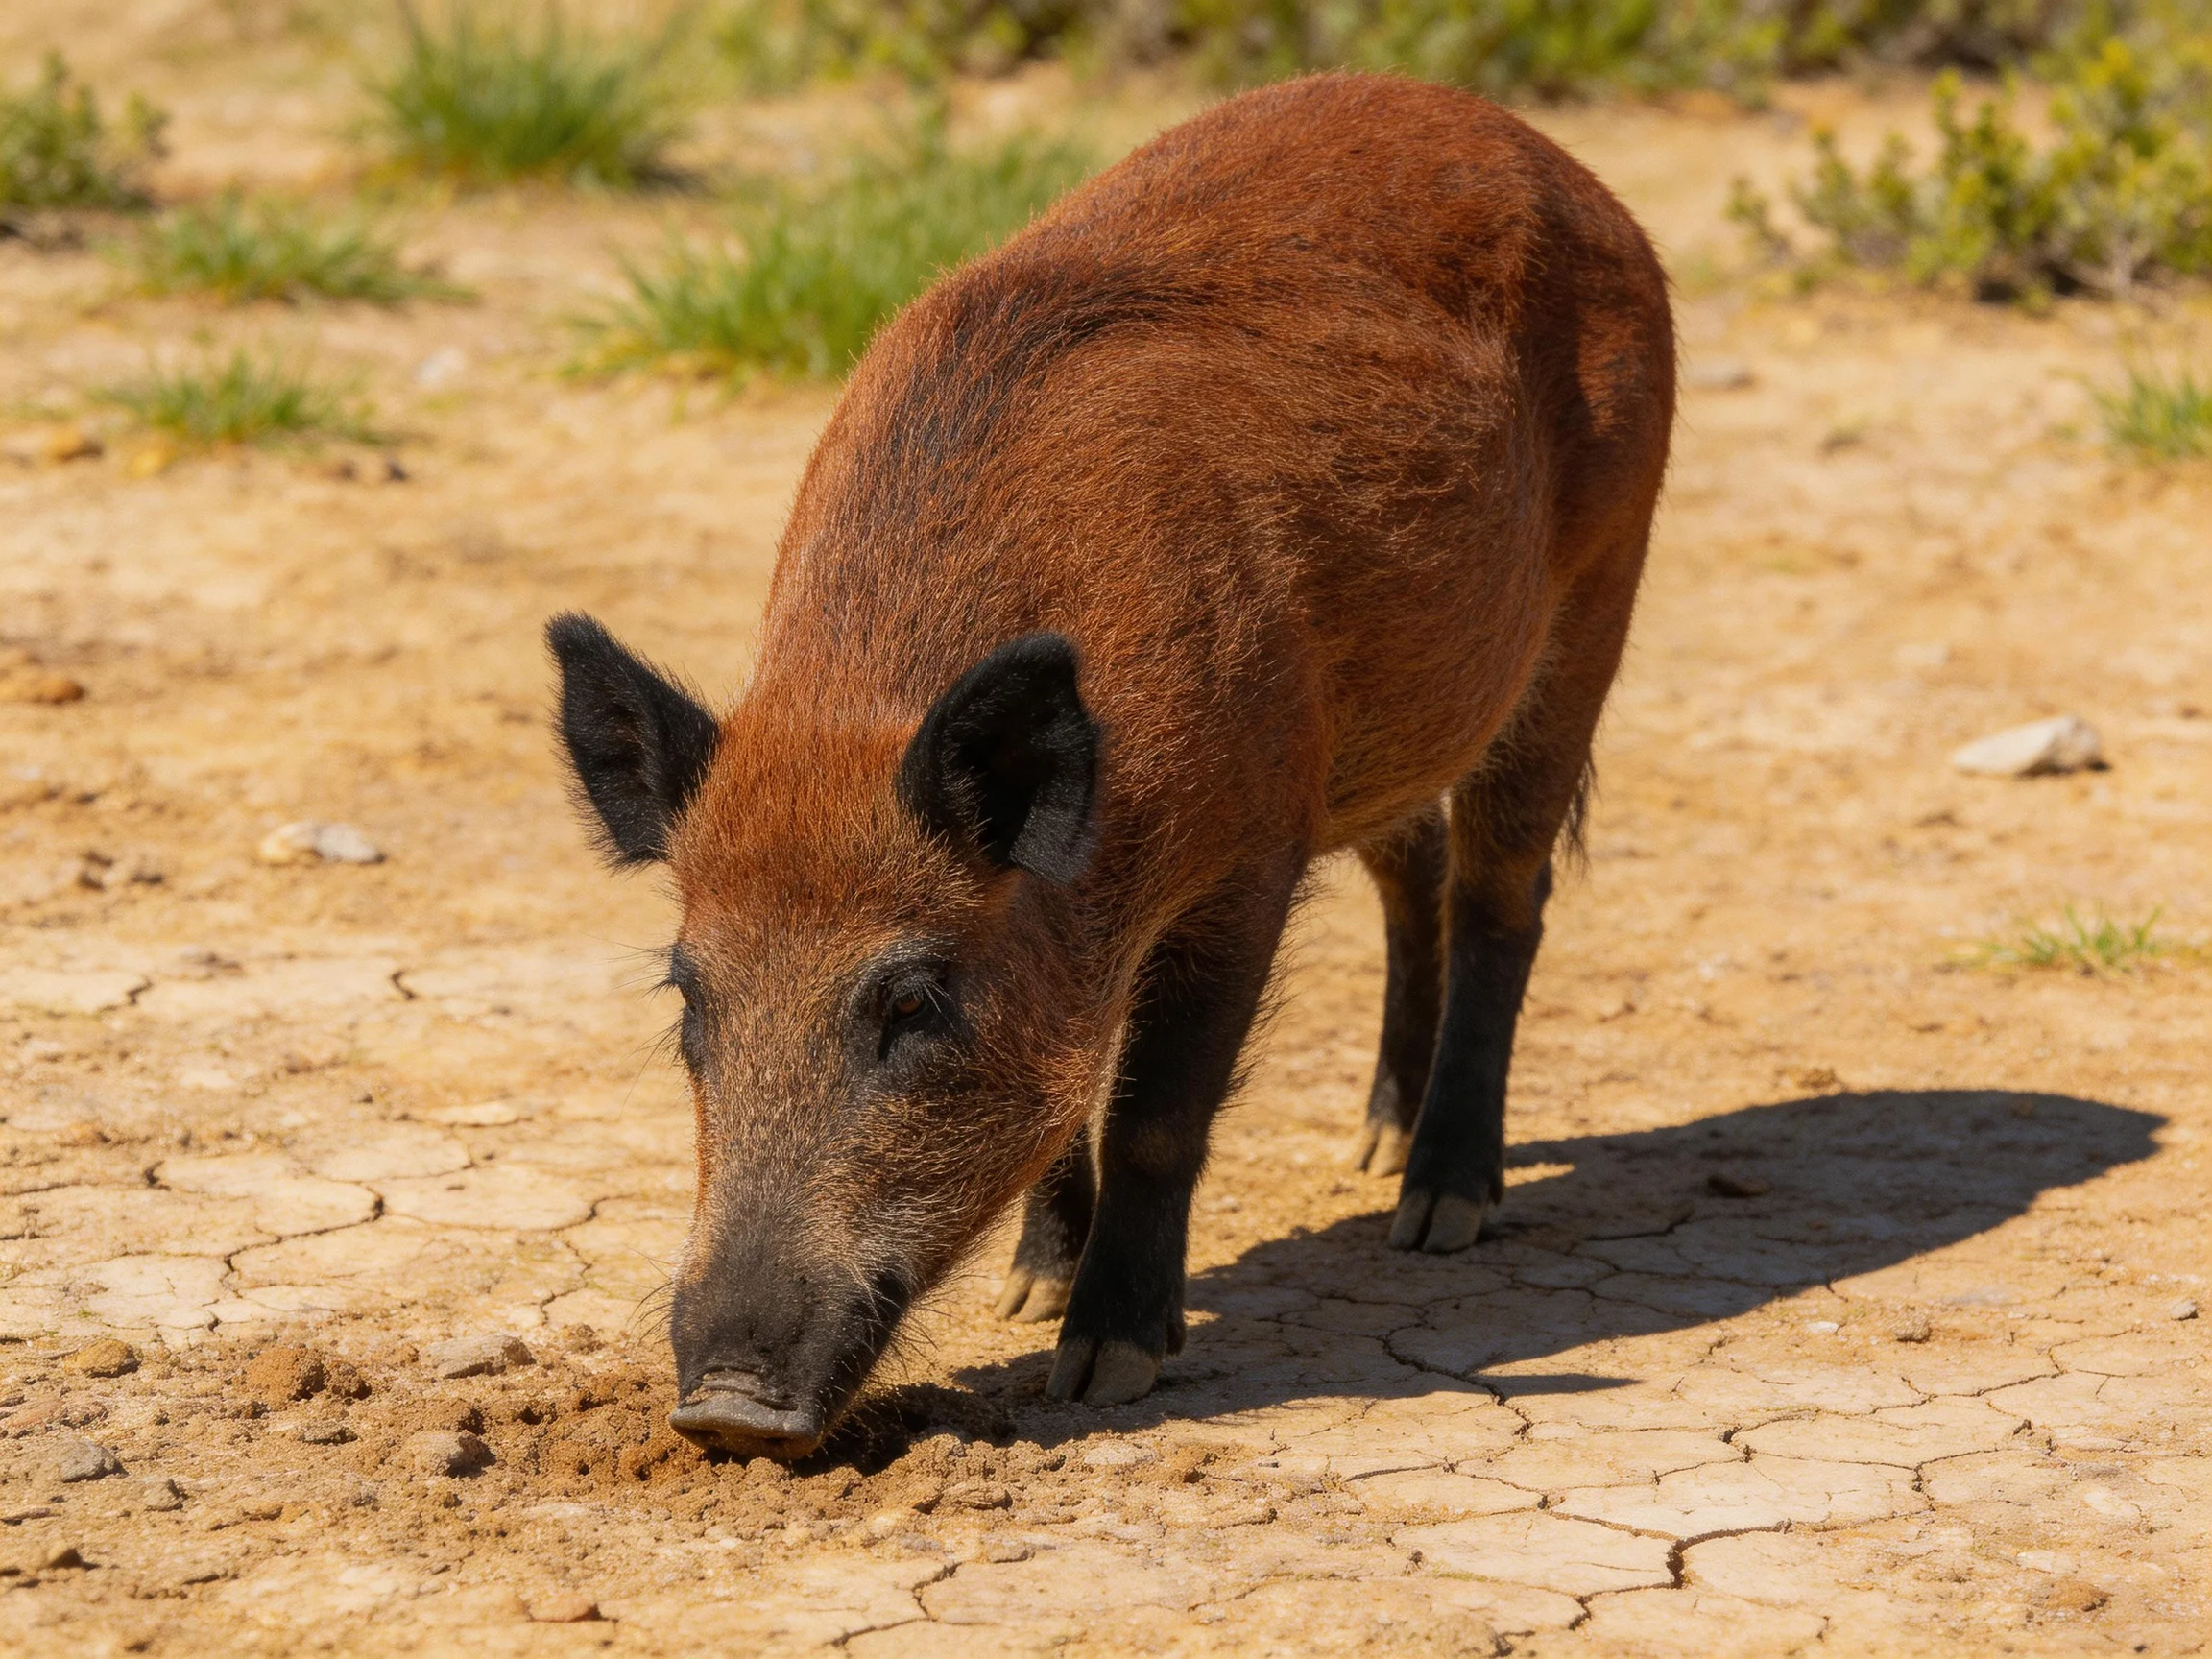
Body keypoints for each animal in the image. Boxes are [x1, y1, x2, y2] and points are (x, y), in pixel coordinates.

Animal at [548, 71, 1674, 1459]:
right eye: (688, 998)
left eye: (911, 1002)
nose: (723, 1409)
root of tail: (1547, 154)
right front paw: (1029, 1299)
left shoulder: (1250, 851)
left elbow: (1153, 1109)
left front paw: (1099, 1369)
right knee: (1414, 877)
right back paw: (1371, 1150)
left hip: (1598, 593)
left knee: (1501, 895)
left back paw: (1437, 1214)